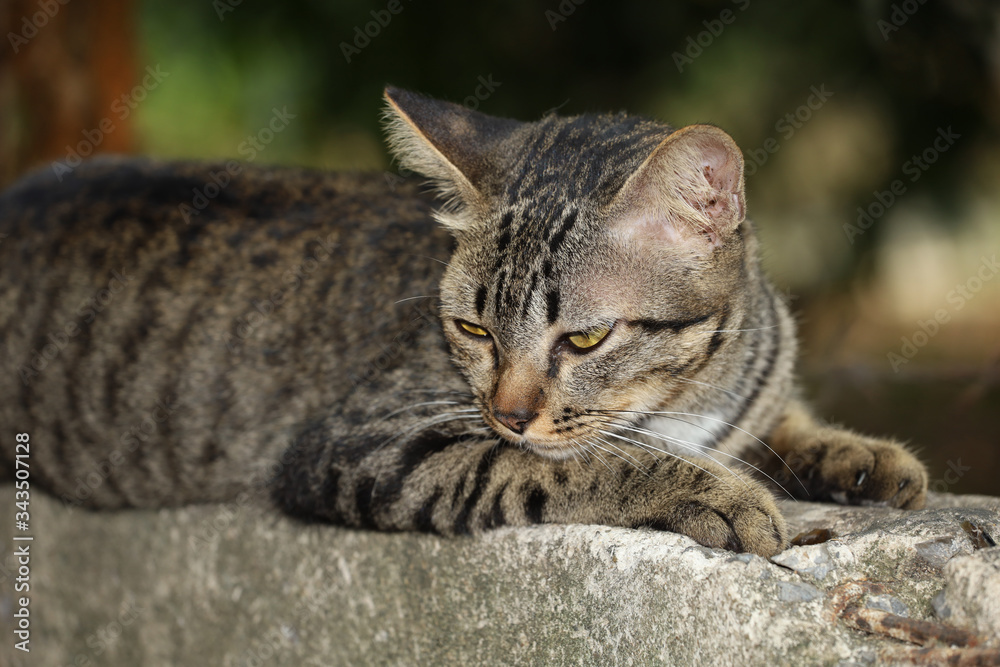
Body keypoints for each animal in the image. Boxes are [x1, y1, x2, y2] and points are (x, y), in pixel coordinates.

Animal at [0, 87, 924, 560]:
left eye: (585, 337)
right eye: (474, 331)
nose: (508, 411)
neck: (686, 395)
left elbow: (782, 424)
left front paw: (863, 457)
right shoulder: (365, 443)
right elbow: (572, 464)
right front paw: (717, 492)